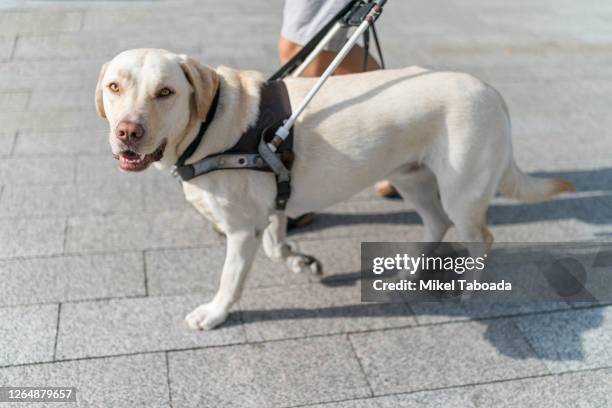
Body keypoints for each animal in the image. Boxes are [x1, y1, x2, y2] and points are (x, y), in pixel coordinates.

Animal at [95, 47, 572, 330]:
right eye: (114, 87)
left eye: (166, 92)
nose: (127, 133)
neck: (208, 125)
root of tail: (490, 89)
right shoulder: (274, 203)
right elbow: (275, 244)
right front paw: (299, 260)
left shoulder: (240, 228)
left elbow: (230, 278)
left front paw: (214, 314)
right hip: (410, 177)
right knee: (436, 223)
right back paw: (407, 274)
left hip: (461, 191)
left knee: (480, 238)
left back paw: (470, 288)